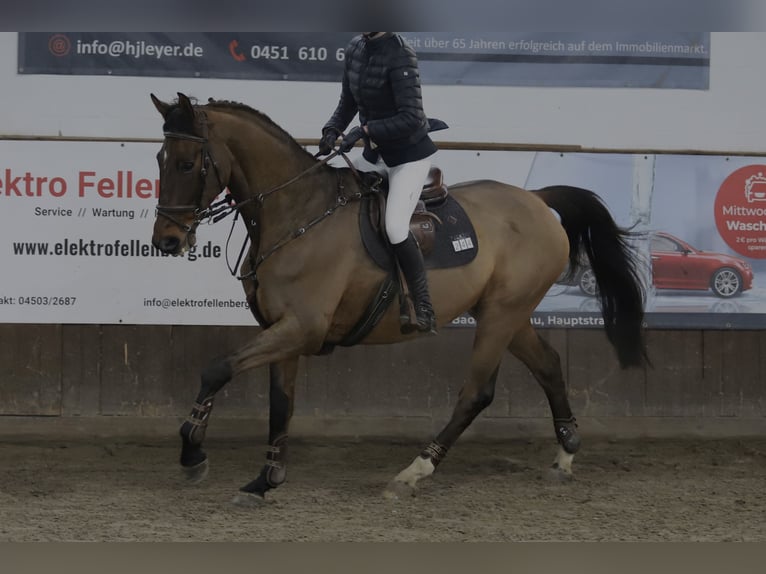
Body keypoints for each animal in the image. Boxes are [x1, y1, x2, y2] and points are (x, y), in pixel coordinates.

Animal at [148, 92, 648, 506]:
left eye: (188, 164)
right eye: (159, 158)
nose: (167, 241)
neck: (298, 215)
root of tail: (536, 199)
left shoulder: (302, 328)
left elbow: (216, 369)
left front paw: (192, 453)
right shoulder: (281, 332)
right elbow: (279, 405)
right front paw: (264, 480)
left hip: (501, 317)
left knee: (476, 393)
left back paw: (413, 473)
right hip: (507, 313)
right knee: (548, 366)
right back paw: (564, 456)